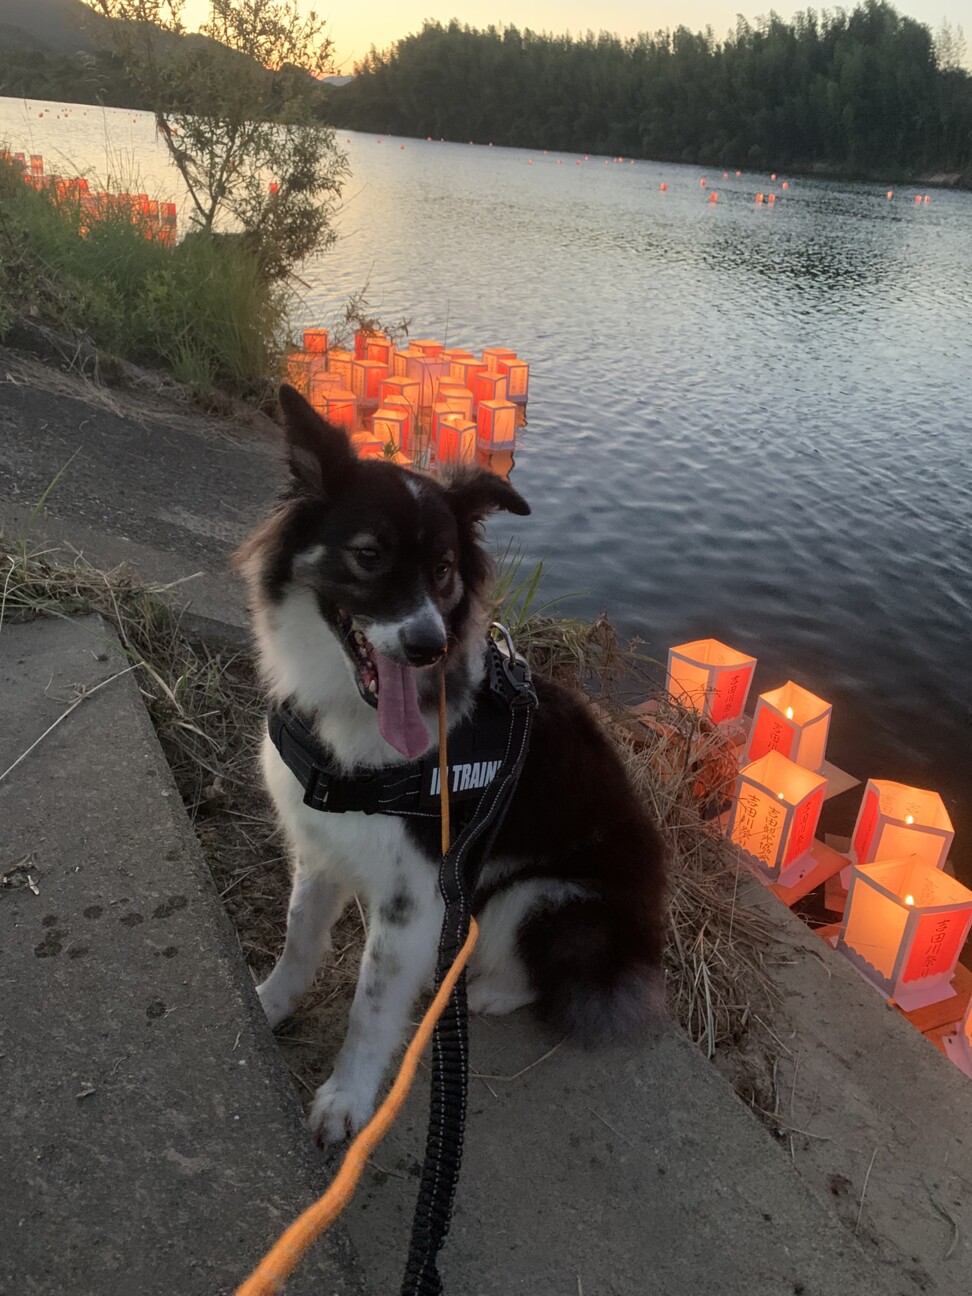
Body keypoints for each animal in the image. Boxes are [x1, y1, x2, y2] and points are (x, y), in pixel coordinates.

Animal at [237, 384, 667, 1146]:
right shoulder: (322, 848)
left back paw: (484, 990)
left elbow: (371, 1006)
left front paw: (347, 1100)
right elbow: (298, 938)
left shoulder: (416, 897)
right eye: (369, 554)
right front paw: (268, 1004)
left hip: (536, 893)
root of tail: (640, 946)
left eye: (443, 570)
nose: (428, 646)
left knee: (542, 970)